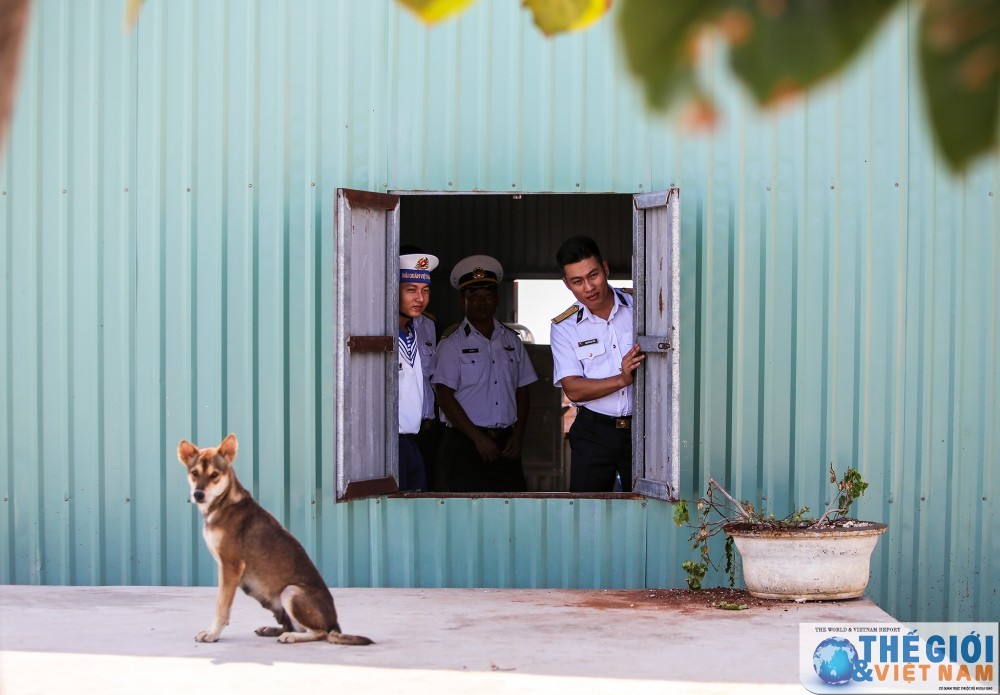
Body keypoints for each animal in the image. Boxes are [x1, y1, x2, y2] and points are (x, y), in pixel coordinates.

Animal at [178, 436, 374, 648]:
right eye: (194, 473)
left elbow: (221, 607)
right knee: (293, 625)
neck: (223, 502)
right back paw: (271, 629)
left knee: (320, 632)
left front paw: (213, 633)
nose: (198, 494)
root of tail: (335, 624)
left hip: (291, 591)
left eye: (214, 474)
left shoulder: (231, 566)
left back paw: (291, 636)